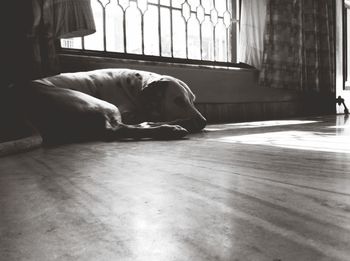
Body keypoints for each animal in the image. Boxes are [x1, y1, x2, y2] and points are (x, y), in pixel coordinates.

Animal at [19, 68, 206, 143]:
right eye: (178, 100)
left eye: (193, 99)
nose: (204, 122)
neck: (133, 86)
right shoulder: (127, 112)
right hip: (104, 105)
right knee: (118, 129)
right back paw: (172, 128)